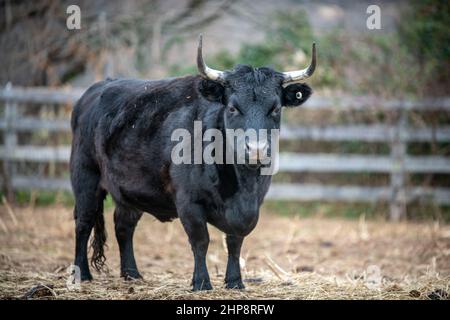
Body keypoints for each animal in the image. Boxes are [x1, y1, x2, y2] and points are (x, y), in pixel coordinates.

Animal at [71, 57, 312, 290]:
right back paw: (82, 273)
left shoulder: (252, 206)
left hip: (129, 191)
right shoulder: (189, 202)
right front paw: (202, 282)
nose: (256, 149)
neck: (243, 187)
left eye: (276, 109)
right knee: (84, 223)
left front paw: (235, 281)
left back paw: (132, 274)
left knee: (124, 226)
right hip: (85, 177)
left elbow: (235, 242)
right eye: (233, 108)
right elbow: (200, 241)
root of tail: (99, 87)